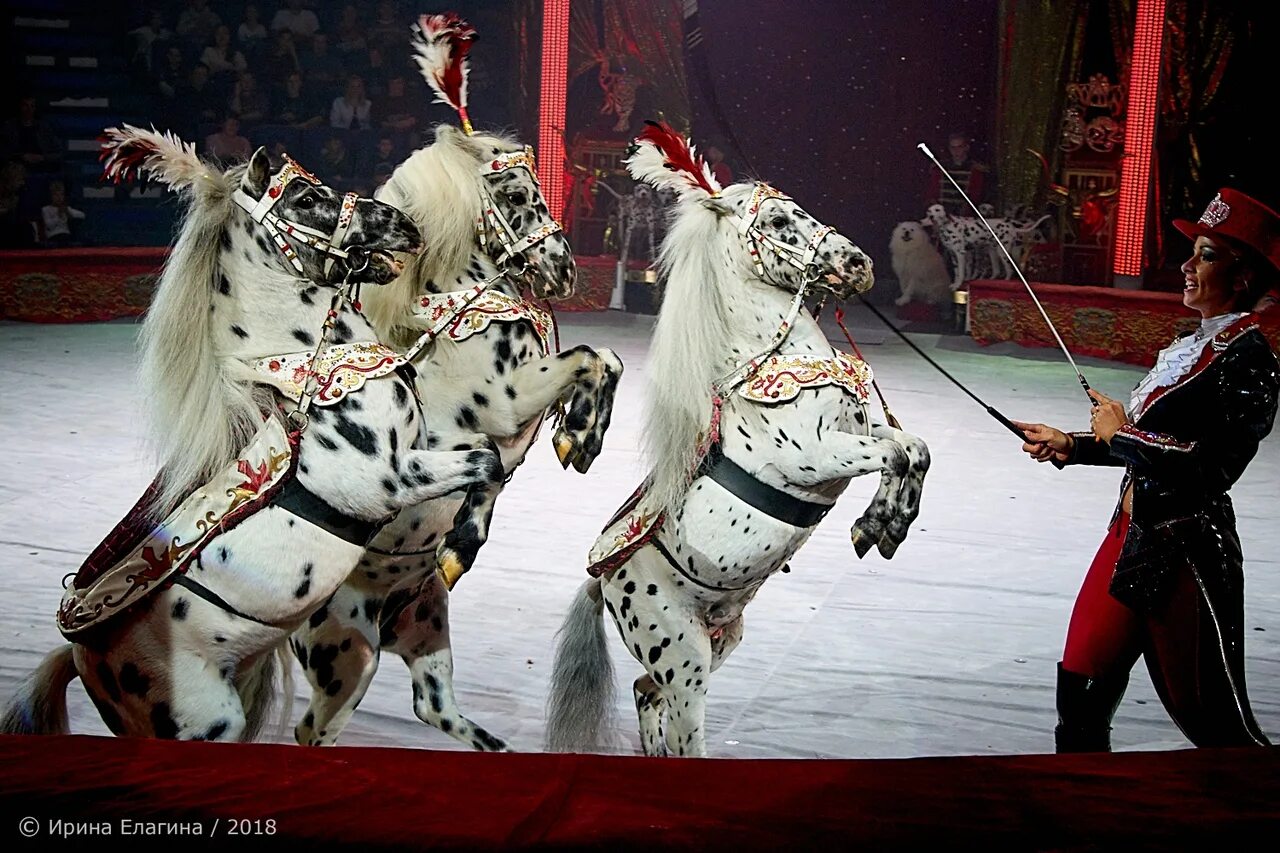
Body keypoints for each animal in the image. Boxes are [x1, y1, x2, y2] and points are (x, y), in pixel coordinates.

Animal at [1, 126, 504, 737]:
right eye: (306, 198)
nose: (402, 222)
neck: (313, 368)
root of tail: (81, 658)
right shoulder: (386, 480)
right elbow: (486, 460)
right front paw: (461, 544)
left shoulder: (422, 450)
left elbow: (487, 456)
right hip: (209, 722)